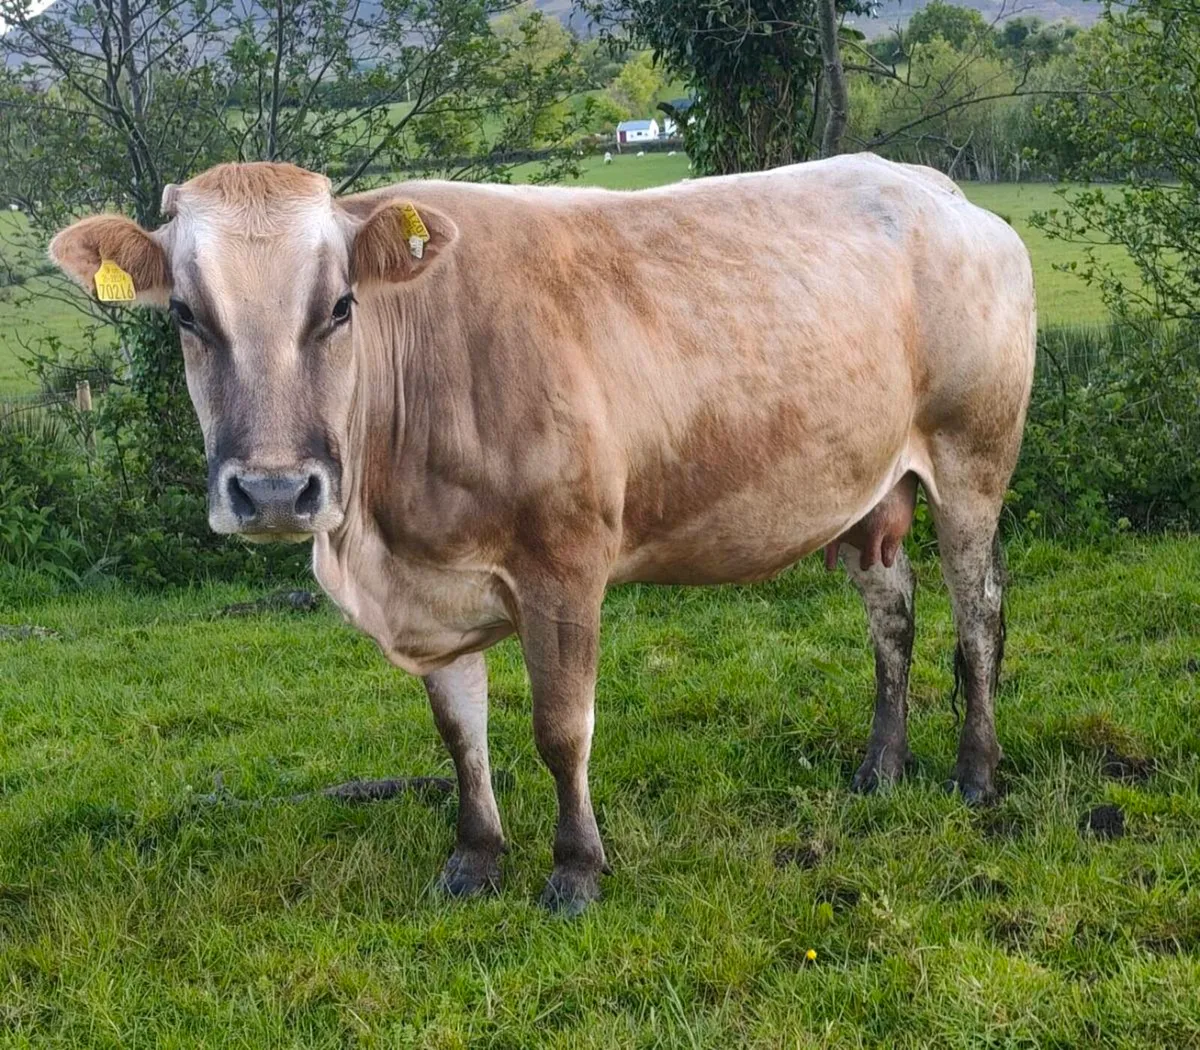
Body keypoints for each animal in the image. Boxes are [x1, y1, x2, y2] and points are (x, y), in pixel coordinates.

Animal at [50, 155, 1036, 913]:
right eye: (185, 314)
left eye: (339, 306)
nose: (275, 490)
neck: (378, 534)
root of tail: (934, 188)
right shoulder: (433, 590)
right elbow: (460, 736)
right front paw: (475, 859)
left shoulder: (564, 565)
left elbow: (562, 730)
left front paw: (575, 870)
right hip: (869, 488)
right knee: (892, 615)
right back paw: (880, 769)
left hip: (972, 458)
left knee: (978, 616)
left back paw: (975, 775)